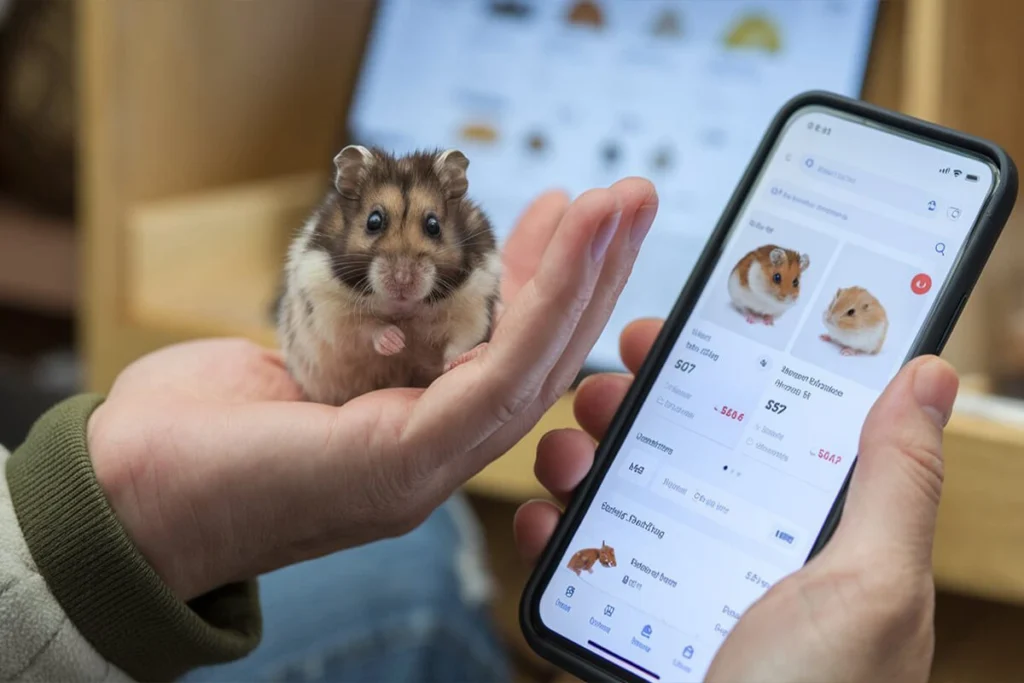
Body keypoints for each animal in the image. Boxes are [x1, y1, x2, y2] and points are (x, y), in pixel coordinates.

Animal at [278, 145, 501, 405]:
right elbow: (366, 328)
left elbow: (461, 343)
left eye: (433, 225)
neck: (404, 311)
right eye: (374, 220)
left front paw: (467, 356)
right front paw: (396, 341)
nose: (403, 280)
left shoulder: (474, 305)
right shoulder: (329, 307)